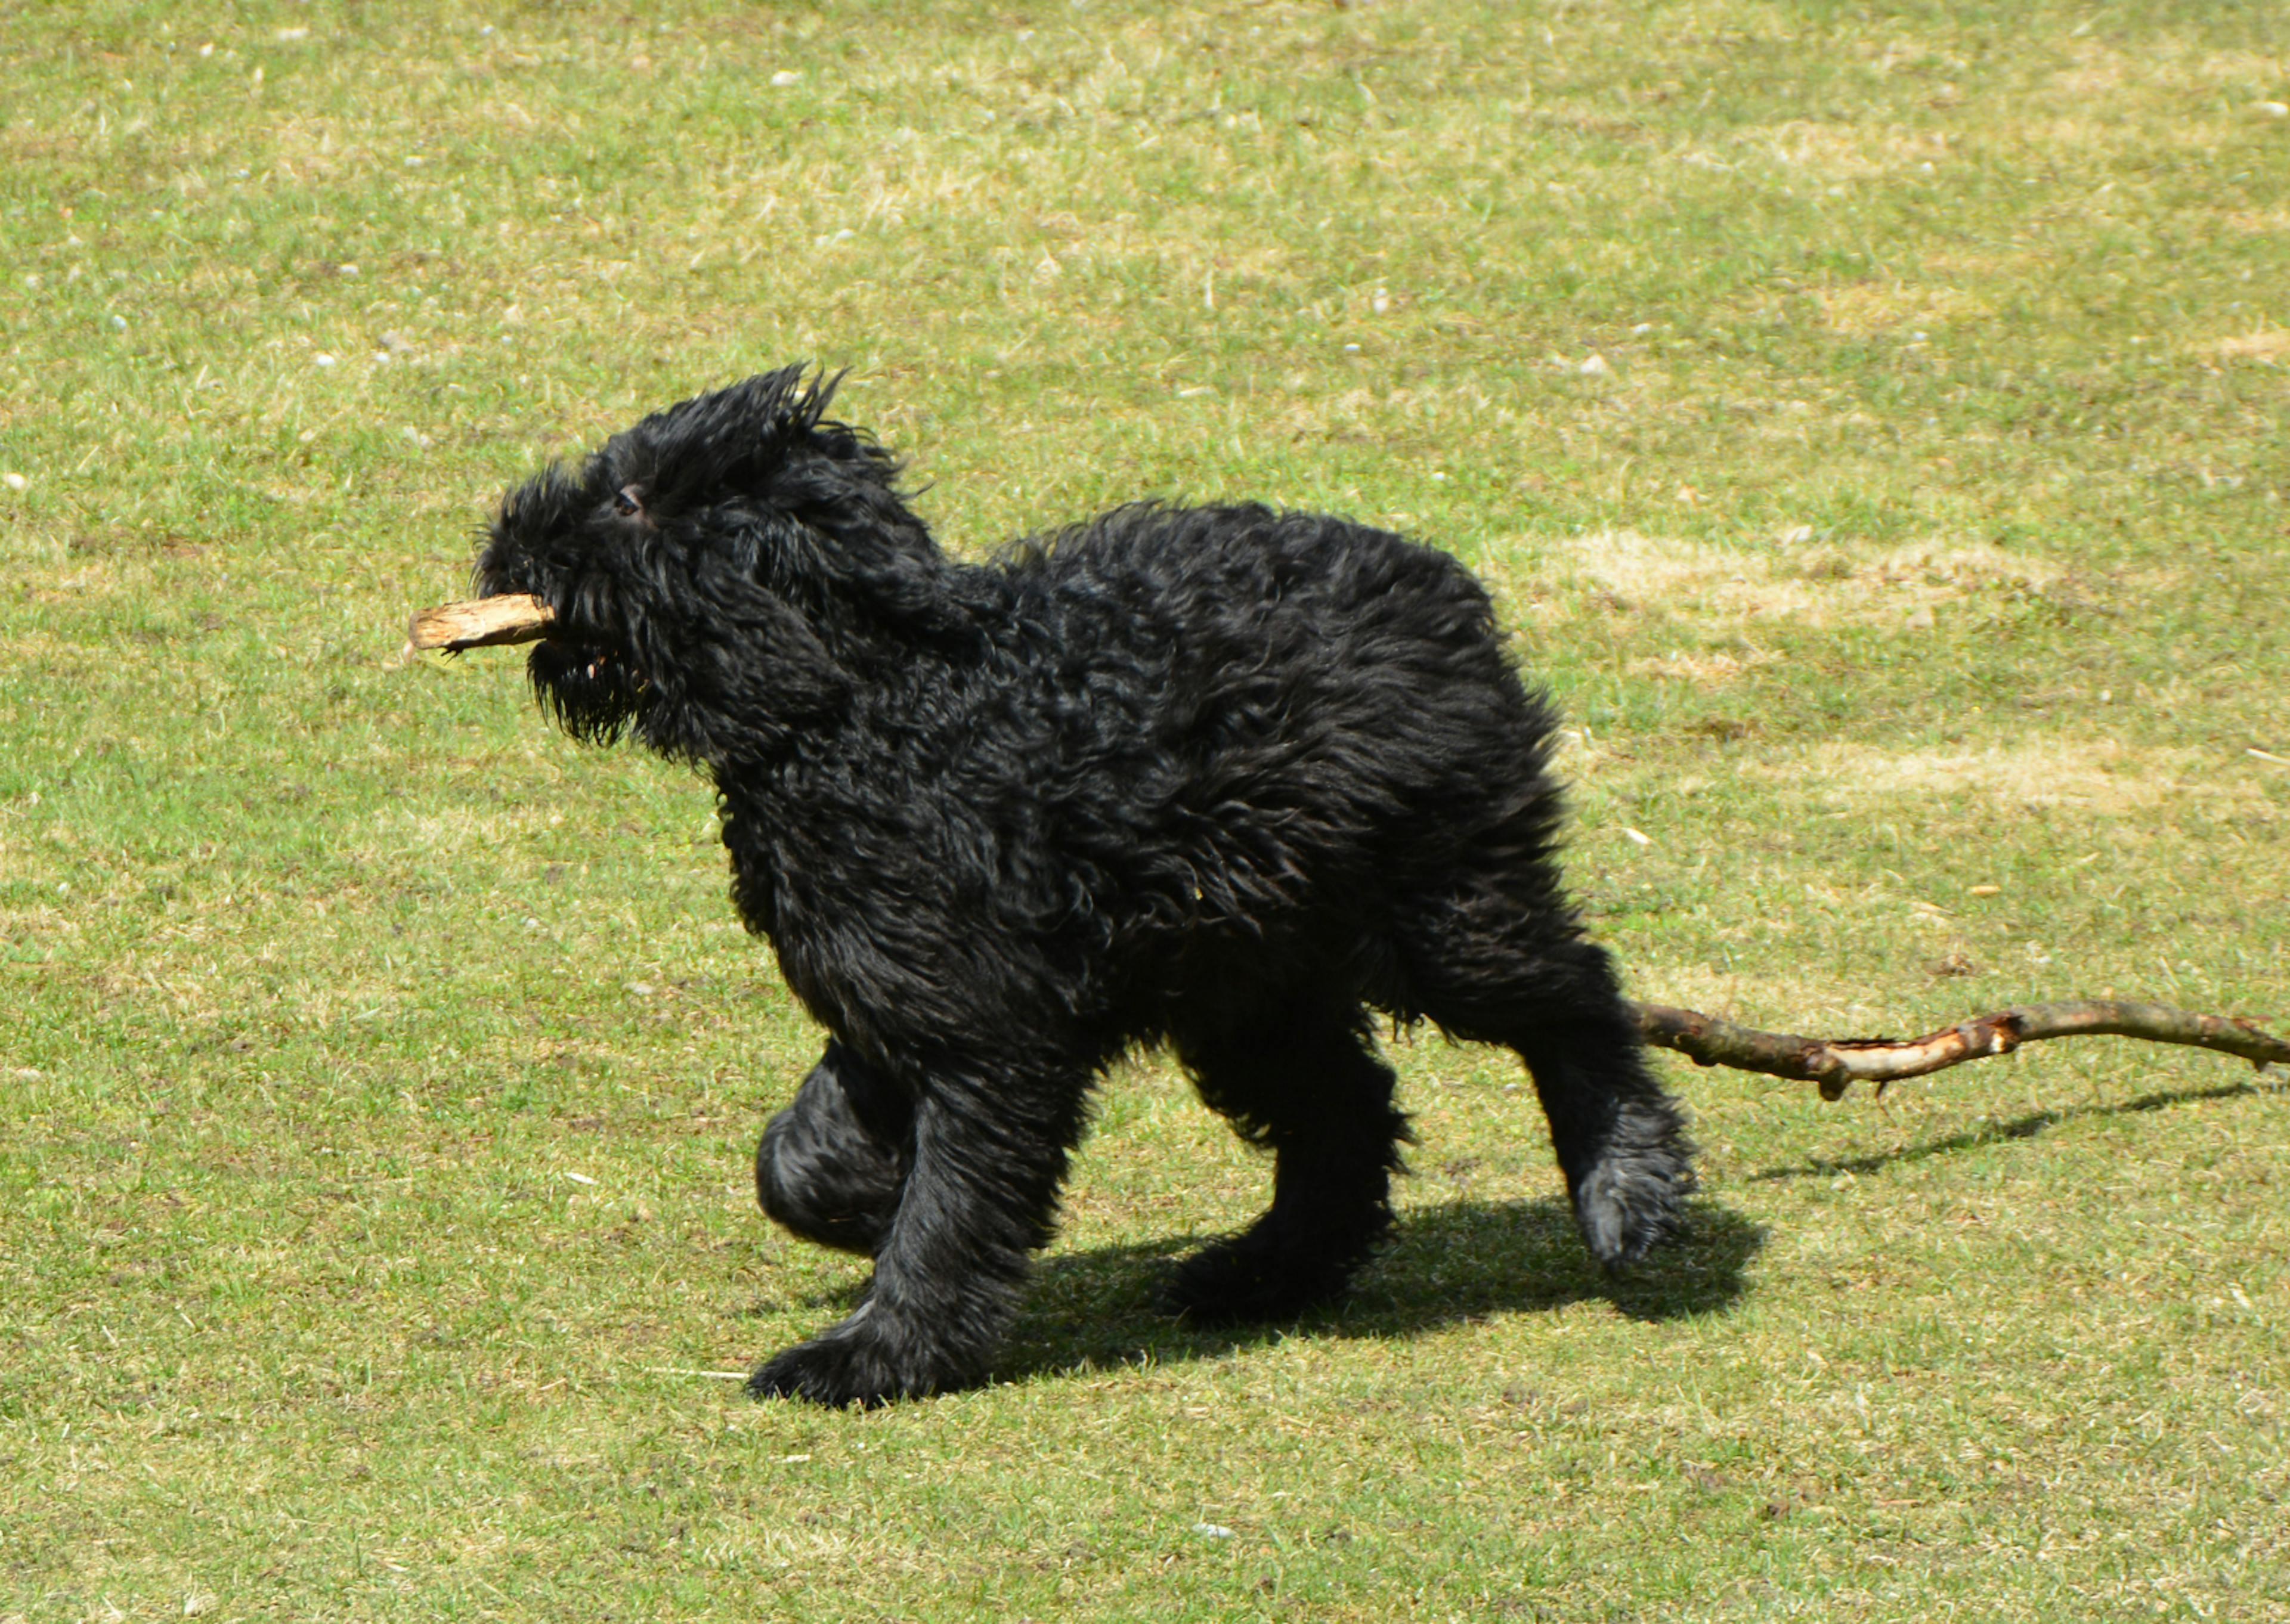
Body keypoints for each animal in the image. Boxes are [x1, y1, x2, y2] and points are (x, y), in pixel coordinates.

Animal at [474, 366, 1694, 1402]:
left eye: (632, 497)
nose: (505, 540)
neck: (866, 703)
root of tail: (1443, 590)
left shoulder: (988, 1032)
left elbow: (954, 1207)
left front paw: (879, 1351)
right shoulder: (891, 990)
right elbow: (800, 1156)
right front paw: (863, 1203)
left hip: (1438, 904)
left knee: (1578, 999)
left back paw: (1628, 1187)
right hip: (1245, 968)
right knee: (1345, 1110)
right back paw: (1266, 1274)